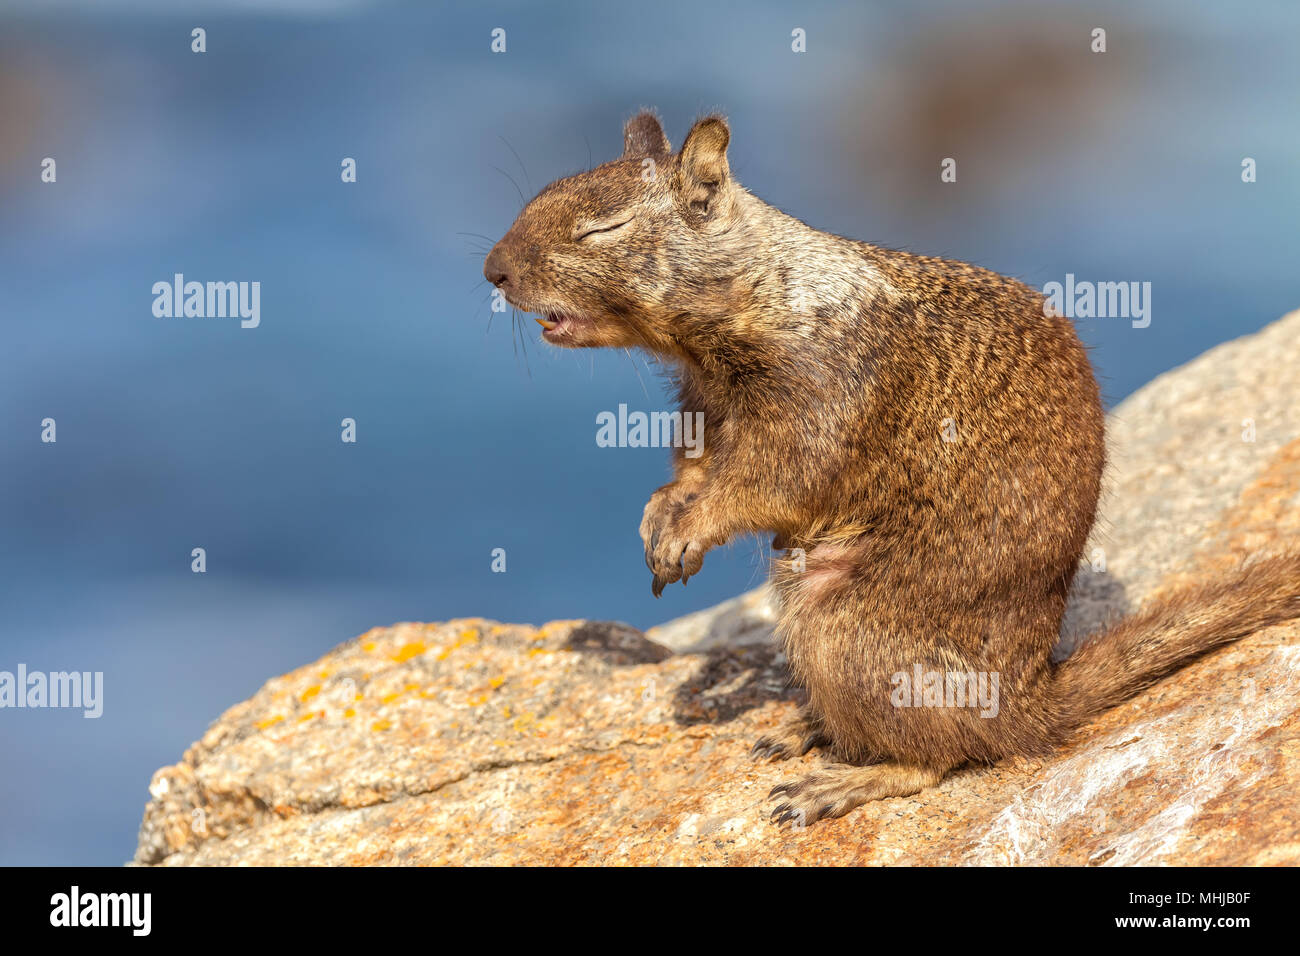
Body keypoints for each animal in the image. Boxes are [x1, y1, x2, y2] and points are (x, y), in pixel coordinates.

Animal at [484, 111, 1300, 825]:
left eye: (603, 227)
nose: (493, 271)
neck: (753, 298)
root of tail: (1028, 698)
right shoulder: (700, 407)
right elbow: (689, 470)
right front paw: (660, 517)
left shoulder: (819, 397)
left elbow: (769, 480)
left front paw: (692, 529)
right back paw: (804, 727)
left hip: (844, 631)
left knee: (941, 755)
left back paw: (837, 781)